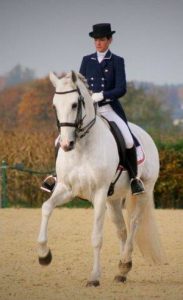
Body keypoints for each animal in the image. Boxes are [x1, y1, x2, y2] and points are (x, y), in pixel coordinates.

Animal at [37, 70, 166, 286]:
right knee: (122, 229)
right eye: (54, 105)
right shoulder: (66, 188)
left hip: (143, 191)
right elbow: (47, 207)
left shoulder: (99, 193)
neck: (82, 146)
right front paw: (44, 255)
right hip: (113, 200)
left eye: (74, 104)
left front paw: (94, 277)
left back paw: (124, 263)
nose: (66, 144)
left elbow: (96, 237)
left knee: (134, 224)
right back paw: (122, 270)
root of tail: (145, 135)